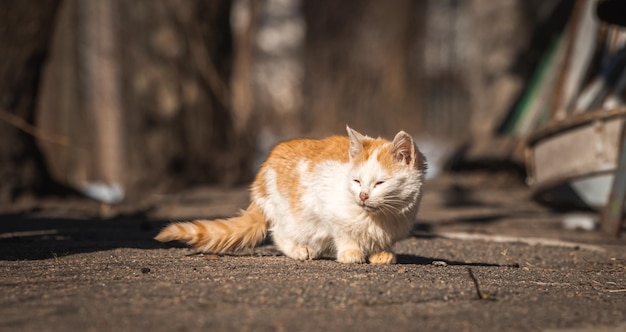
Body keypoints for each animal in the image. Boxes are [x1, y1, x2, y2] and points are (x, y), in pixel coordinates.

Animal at [155, 126, 424, 264]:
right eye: (356, 181)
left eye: (380, 183)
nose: (363, 196)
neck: (380, 216)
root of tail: (260, 179)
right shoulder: (326, 207)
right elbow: (344, 233)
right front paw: (351, 253)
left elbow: (381, 240)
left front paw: (382, 253)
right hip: (290, 213)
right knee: (278, 233)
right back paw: (300, 250)